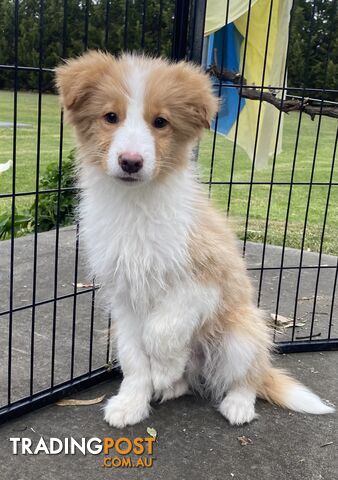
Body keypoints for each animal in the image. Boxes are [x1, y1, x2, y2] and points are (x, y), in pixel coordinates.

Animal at [56, 52, 336, 428]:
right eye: (110, 117)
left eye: (160, 122)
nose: (131, 162)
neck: (137, 204)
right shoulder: (123, 295)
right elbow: (135, 356)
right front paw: (132, 402)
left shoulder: (206, 278)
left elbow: (162, 329)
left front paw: (163, 369)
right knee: (191, 377)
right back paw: (174, 385)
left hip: (241, 332)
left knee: (248, 373)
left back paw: (237, 404)